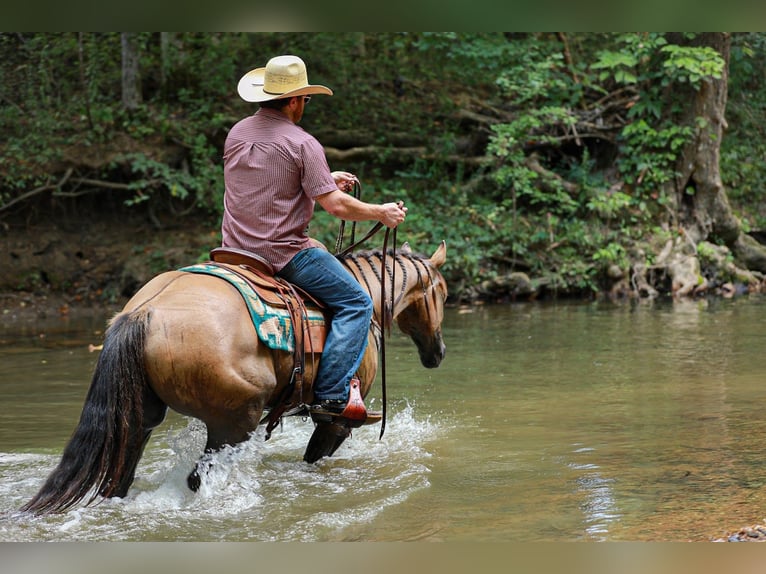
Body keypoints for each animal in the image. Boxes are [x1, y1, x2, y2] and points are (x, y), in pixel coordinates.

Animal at [20, 241, 448, 515]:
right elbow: (315, 457)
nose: (438, 353)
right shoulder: (337, 421)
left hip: (139, 419)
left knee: (120, 477)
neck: (367, 294)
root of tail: (144, 313)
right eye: (442, 293)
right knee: (198, 479)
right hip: (234, 421)